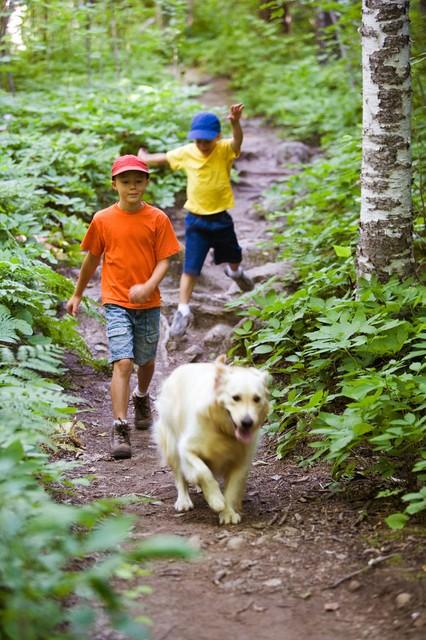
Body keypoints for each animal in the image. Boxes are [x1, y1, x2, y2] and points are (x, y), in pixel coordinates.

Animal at [153, 356, 270, 524]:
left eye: (256, 399)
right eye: (235, 398)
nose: (247, 422)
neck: (222, 430)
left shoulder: (241, 462)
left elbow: (232, 489)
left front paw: (228, 512)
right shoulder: (187, 449)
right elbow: (203, 472)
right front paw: (216, 500)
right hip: (172, 444)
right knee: (180, 476)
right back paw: (183, 500)